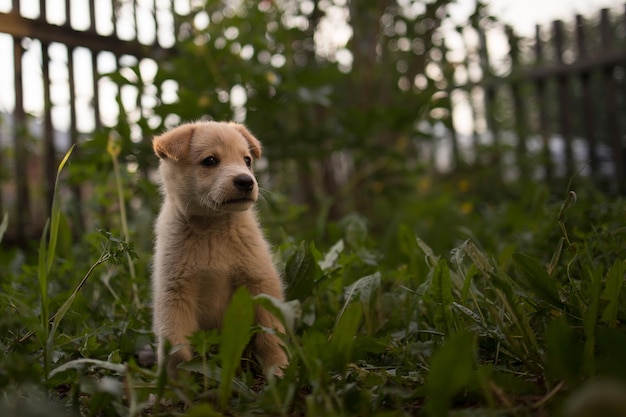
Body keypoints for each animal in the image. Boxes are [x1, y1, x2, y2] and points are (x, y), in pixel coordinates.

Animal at [151, 120, 288, 376]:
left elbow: (270, 335)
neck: (211, 230)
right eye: (210, 161)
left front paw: (278, 370)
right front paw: (176, 382)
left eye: (247, 160)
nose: (246, 181)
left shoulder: (259, 280)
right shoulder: (175, 292)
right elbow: (177, 349)